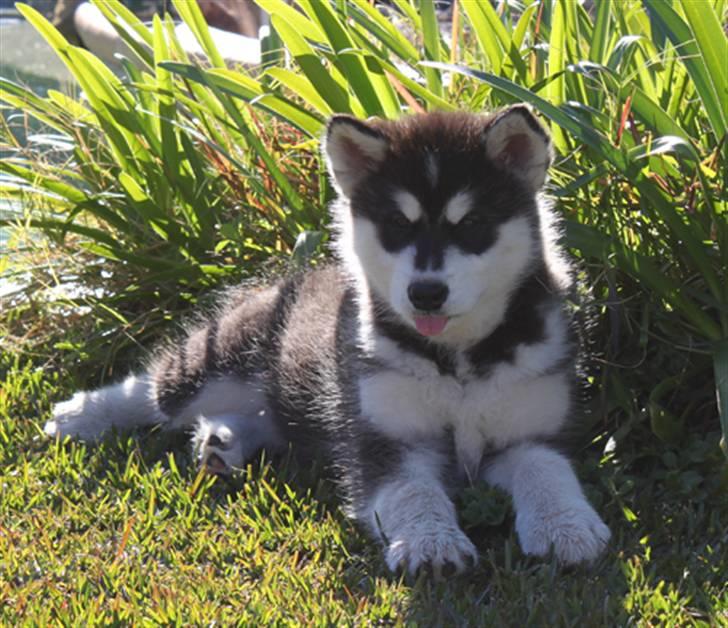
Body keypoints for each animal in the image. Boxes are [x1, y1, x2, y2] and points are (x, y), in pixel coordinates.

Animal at [47, 105, 608, 576]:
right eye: (397, 224)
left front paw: (567, 527)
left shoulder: (531, 430)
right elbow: (411, 492)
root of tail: (289, 279)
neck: (457, 358)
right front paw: (429, 542)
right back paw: (82, 414)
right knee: (154, 388)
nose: (425, 293)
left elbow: (548, 472)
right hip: (220, 357)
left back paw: (221, 441)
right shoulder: (384, 439)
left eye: (470, 223)